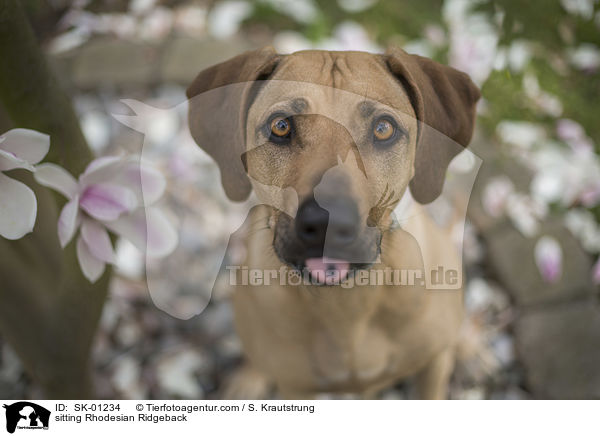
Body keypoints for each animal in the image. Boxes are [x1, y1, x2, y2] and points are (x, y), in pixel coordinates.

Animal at [185, 46, 480, 398]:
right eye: (281, 126)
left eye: (384, 129)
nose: (328, 222)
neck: (347, 303)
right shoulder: (295, 387)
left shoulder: (432, 366)